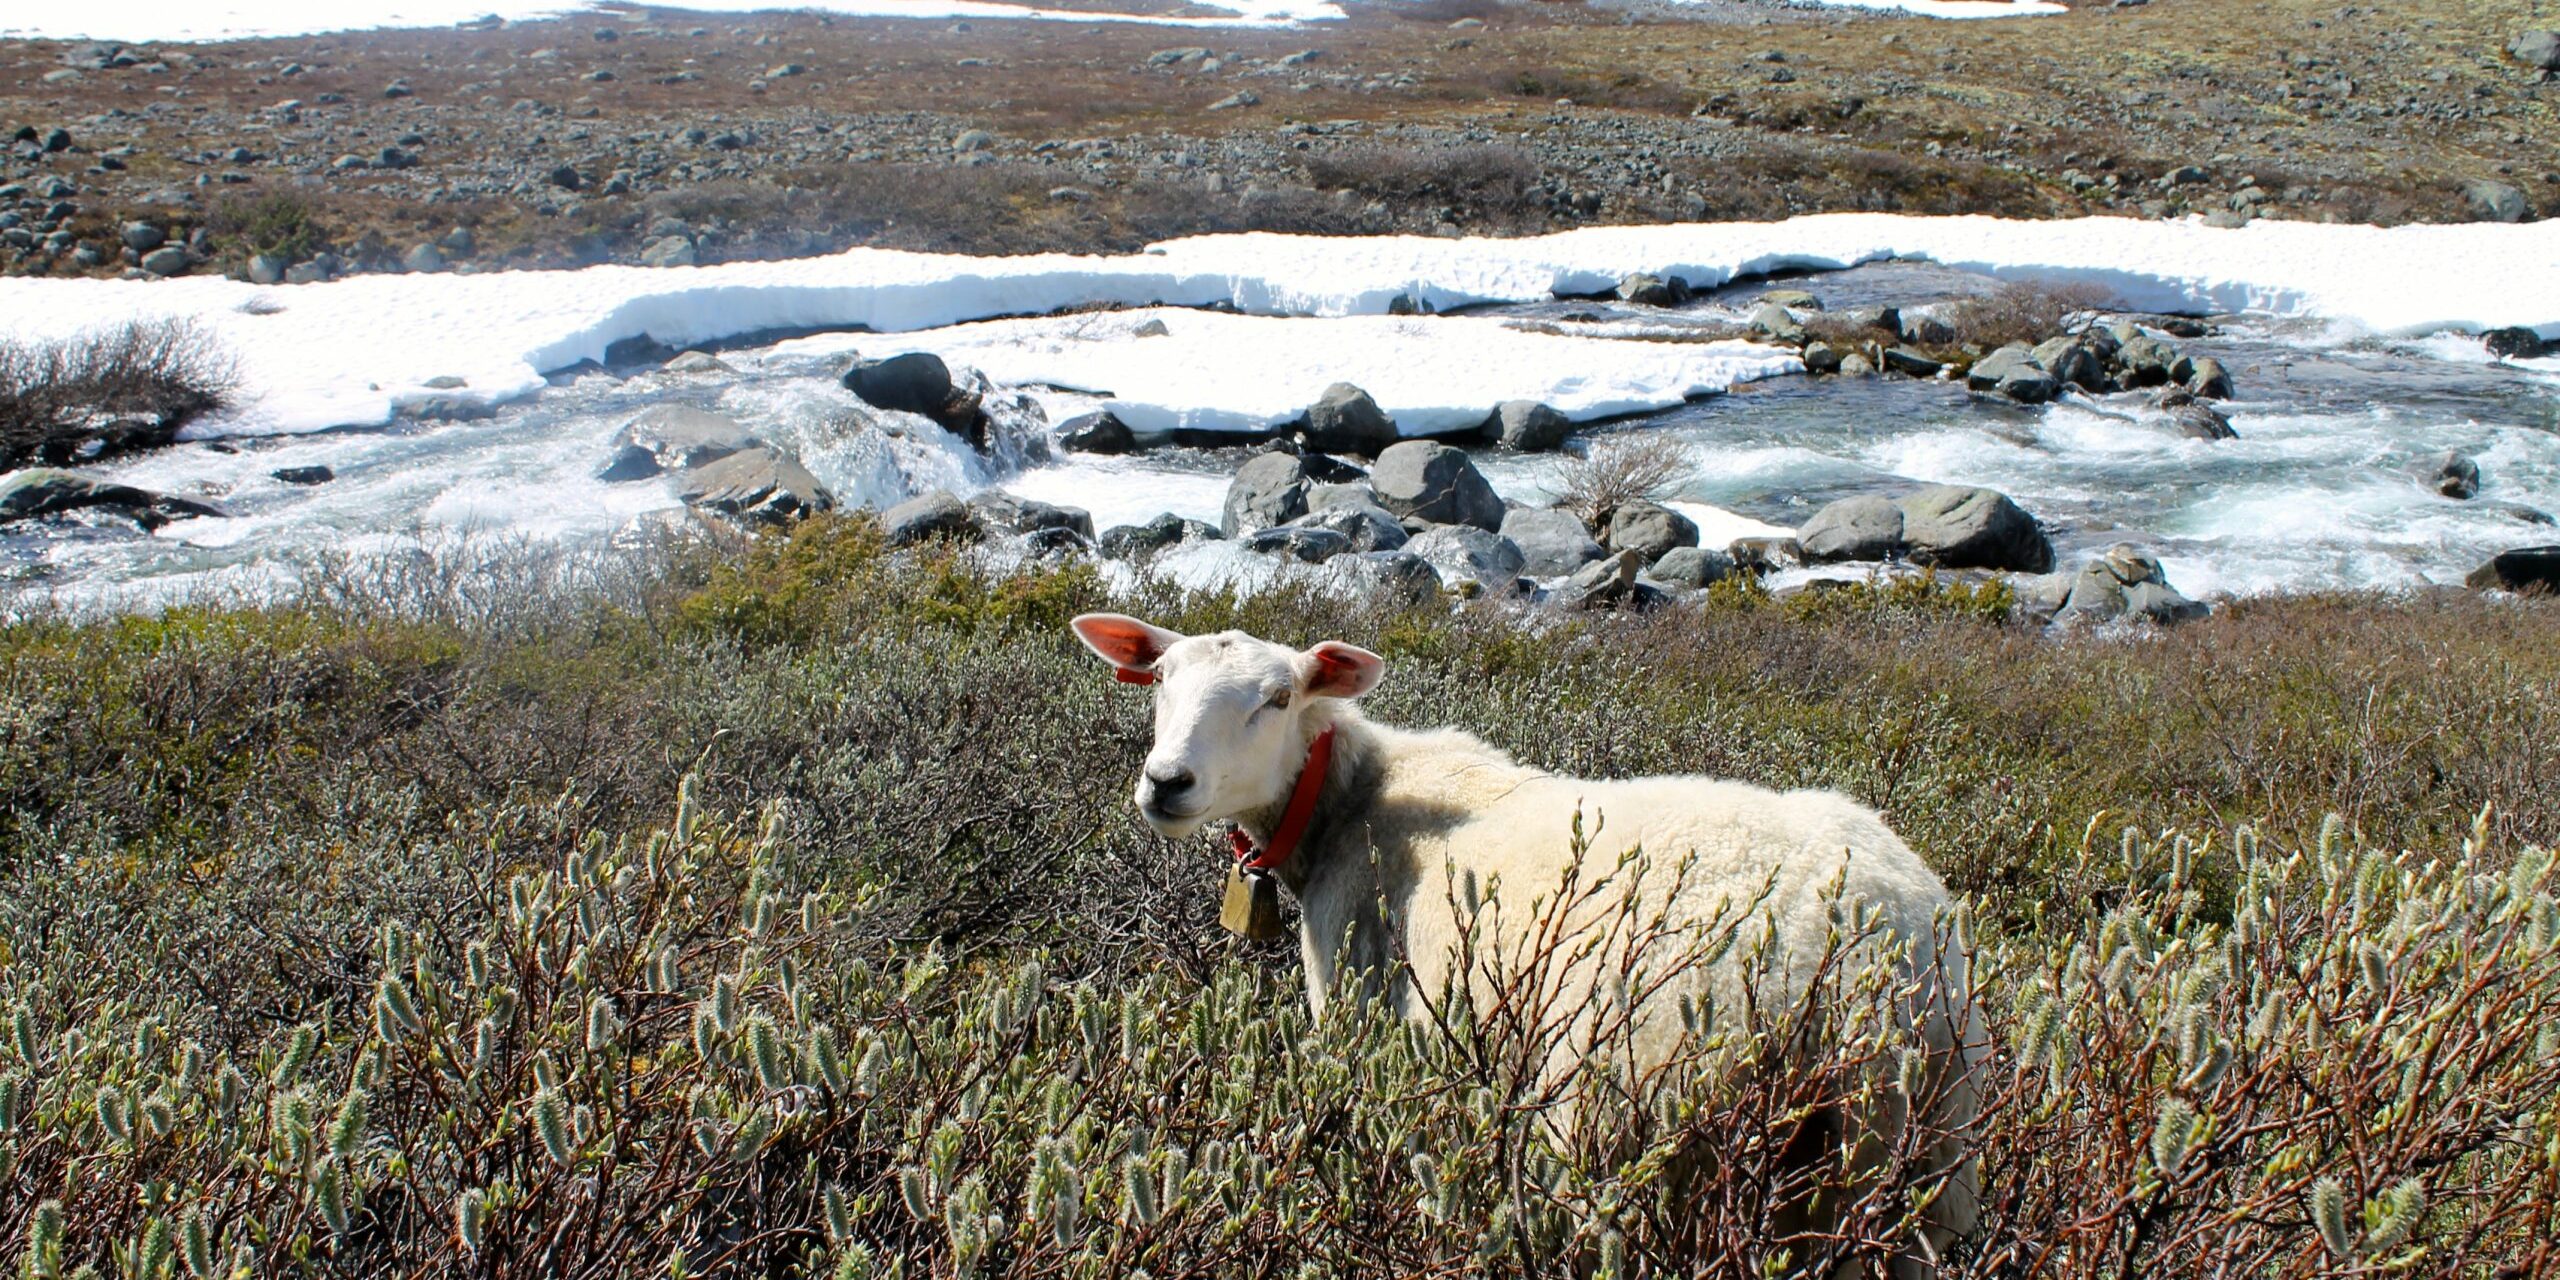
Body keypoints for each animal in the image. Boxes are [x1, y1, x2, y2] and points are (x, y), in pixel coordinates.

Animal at [1070, 614, 1986, 1264]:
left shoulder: (1356, 1008)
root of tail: (1862, 973)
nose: (1166, 783)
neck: (1345, 804)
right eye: (1159, 681)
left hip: (1636, 1121)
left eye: (1277, 699)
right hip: (1917, 1165)